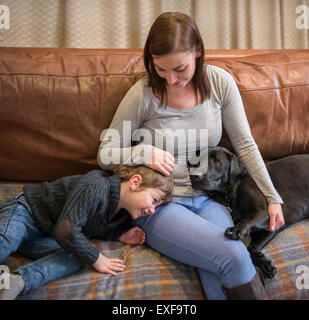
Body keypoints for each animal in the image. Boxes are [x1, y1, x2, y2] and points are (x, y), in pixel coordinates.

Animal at [188, 147, 308, 278]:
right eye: (198, 160)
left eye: (217, 162)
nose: (195, 176)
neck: (232, 191)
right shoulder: (272, 226)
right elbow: (250, 248)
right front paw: (264, 264)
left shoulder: (267, 215)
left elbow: (248, 223)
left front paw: (235, 230)